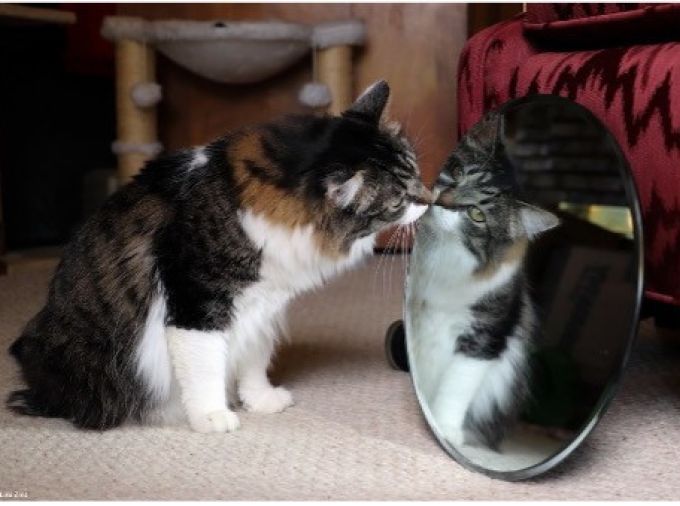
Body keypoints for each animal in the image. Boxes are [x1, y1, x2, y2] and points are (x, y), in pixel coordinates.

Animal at [7, 81, 430, 432]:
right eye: (400, 199)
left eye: (416, 173)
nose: (429, 200)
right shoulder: (197, 302)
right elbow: (205, 368)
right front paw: (212, 417)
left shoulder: (263, 306)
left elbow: (254, 360)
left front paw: (261, 401)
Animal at [406, 112, 560, 448]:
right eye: (457, 173)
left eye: (477, 214)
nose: (441, 201)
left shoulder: (485, 337)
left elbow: (455, 387)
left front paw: (444, 429)